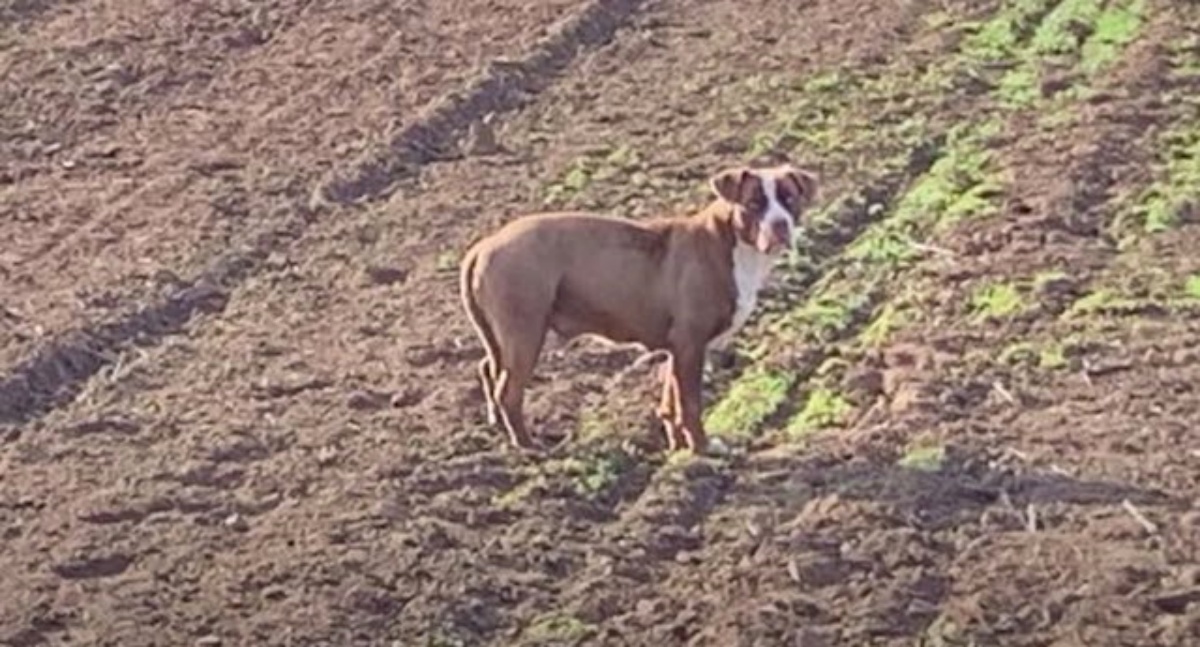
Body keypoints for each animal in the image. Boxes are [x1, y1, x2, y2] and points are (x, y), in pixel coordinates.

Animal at [456, 162, 816, 456]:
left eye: (789, 200)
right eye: (754, 204)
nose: (781, 224)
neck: (731, 242)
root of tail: (485, 245)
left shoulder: (678, 349)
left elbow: (671, 402)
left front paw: (678, 447)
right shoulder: (690, 344)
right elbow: (690, 404)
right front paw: (701, 449)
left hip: (502, 338)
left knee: (489, 370)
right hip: (525, 334)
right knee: (509, 392)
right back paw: (529, 447)